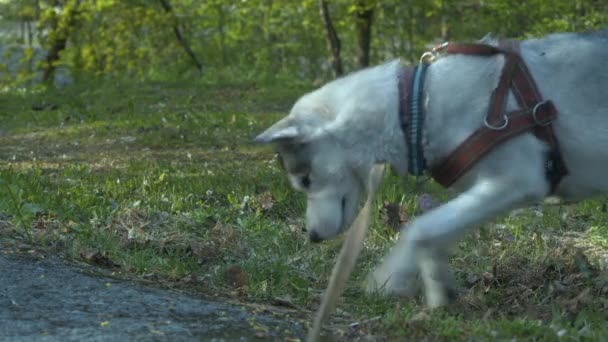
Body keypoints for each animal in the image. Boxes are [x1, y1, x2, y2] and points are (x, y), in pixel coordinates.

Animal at [254, 32, 604, 308]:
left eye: (305, 180)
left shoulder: (516, 181)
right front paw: (437, 283)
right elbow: (435, 234)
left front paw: (388, 278)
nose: (312, 236)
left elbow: (419, 229)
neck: (415, 108)